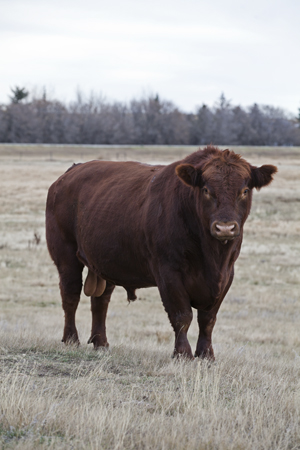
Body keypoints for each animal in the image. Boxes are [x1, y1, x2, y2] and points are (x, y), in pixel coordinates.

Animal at [45, 147, 278, 358]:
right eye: (206, 190)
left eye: (244, 191)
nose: (225, 228)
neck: (211, 254)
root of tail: (70, 172)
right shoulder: (168, 273)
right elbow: (182, 316)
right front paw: (183, 354)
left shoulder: (226, 275)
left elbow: (208, 319)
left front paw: (206, 354)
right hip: (66, 256)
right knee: (71, 295)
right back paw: (71, 339)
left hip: (106, 261)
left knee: (100, 301)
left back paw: (100, 342)